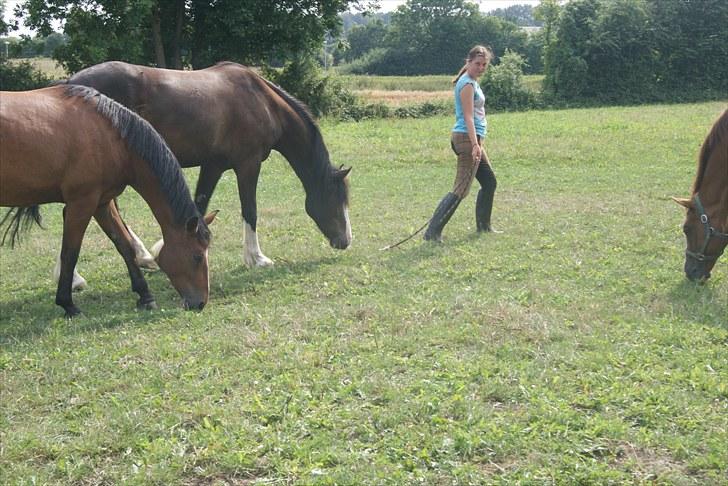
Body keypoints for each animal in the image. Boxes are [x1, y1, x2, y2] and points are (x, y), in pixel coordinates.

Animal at [0, 85, 216, 318]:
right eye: (197, 256)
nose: (200, 303)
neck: (110, 136)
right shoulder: (81, 205)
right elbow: (70, 254)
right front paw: (68, 304)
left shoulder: (102, 203)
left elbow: (125, 245)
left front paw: (145, 296)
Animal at [61, 62, 352, 286]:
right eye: (337, 200)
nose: (346, 241)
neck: (262, 101)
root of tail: (71, 84)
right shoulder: (248, 164)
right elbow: (250, 209)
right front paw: (256, 258)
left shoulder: (213, 166)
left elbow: (199, 206)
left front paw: (165, 249)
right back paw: (76, 279)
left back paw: (139, 256)